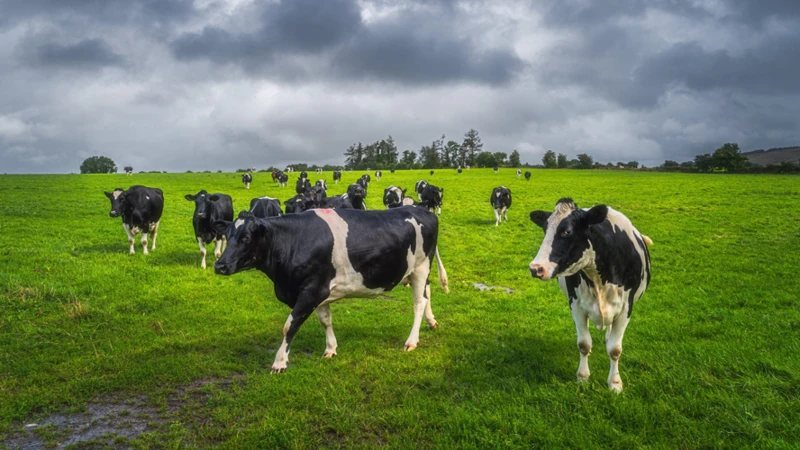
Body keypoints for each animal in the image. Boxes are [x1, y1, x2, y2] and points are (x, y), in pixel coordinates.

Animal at [212, 207, 450, 372]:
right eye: (228, 236)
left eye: (246, 237)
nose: (219, 265)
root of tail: (423, 210)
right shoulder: (319, 292)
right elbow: (325, 320)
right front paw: (330, 349)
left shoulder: (310, 291)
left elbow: (289, 326)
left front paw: (280, 362)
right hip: (418, 271)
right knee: (427, 293)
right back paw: (432, 322)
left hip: (420, 267)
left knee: (419, 303)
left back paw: (411, 341)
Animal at [528, 199, 652, 392]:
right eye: (545, 229)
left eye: (567, 231)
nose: (536, 268)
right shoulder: (576, 305)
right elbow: (584, 344)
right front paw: (583, 377)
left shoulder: (626, 308)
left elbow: (615, 349)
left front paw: (615, 382)